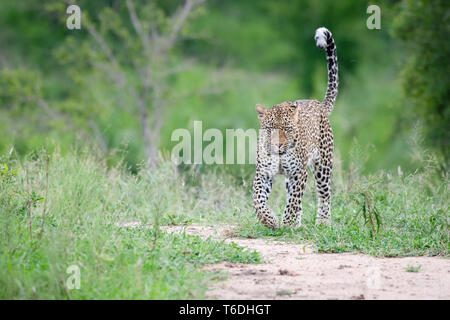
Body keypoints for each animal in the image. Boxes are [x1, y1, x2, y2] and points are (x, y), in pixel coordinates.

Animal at [253, 26, 338, 228]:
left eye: (287, 129)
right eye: (270, 129)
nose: (278, 145)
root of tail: (318, 104)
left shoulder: (298, 173)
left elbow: (294, 200)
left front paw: (287, 222)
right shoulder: (263, 174)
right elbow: (257, 201)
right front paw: (270, 220)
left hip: (323, 165)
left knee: (325, 193)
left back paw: (323, 221)